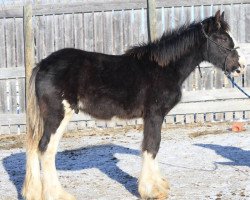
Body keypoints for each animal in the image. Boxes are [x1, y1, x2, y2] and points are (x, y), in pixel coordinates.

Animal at [22, 10, 245, 200]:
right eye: (222, 38)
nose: (240, 67)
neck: (163, 68)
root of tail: (42, 64)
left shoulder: (151, 117)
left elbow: (151, 146)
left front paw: (158, 185)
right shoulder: (154, 115)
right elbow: (152, 146)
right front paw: (152, 191)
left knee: (33, 147)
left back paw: (33, 193)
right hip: (58, 115)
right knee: (46, 149)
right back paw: (58, 195)